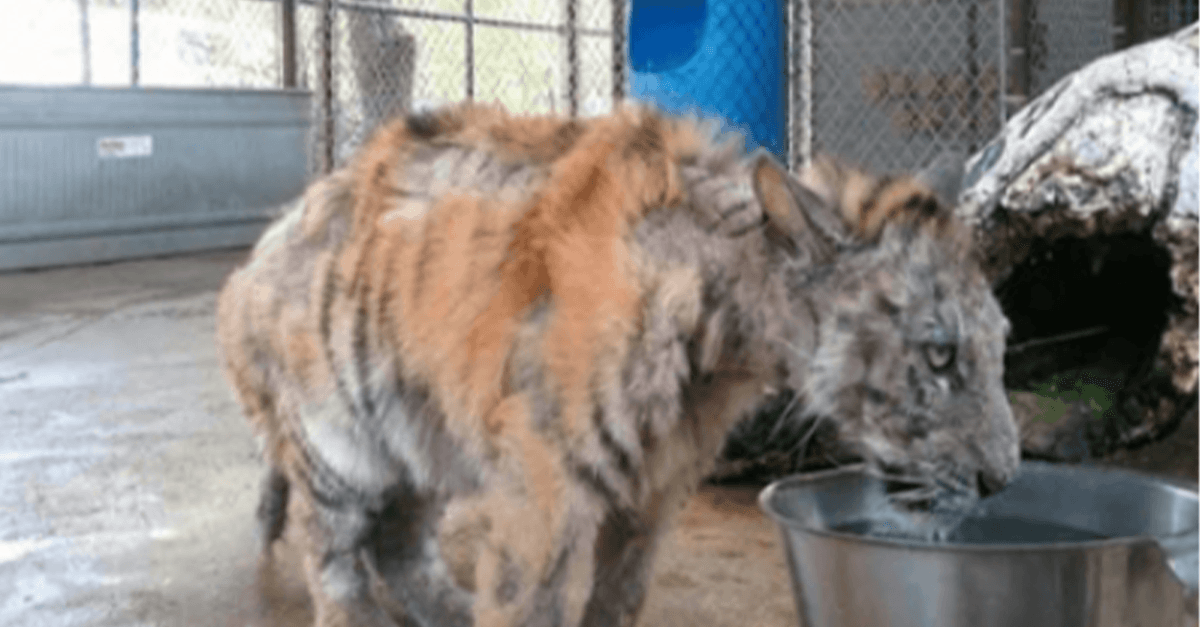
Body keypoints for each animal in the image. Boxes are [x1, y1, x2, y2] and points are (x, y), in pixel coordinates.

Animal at [215, 102, 1019, 627]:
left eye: (999, 342)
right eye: (940, 355)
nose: (1002, 480)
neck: (723, 342)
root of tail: (253, 260)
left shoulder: (653, 488)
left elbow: (617, 597)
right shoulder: (542, 489)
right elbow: (527, 606)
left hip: (423, 443)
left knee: (398, 549)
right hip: (338, 448)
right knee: (335, 564)